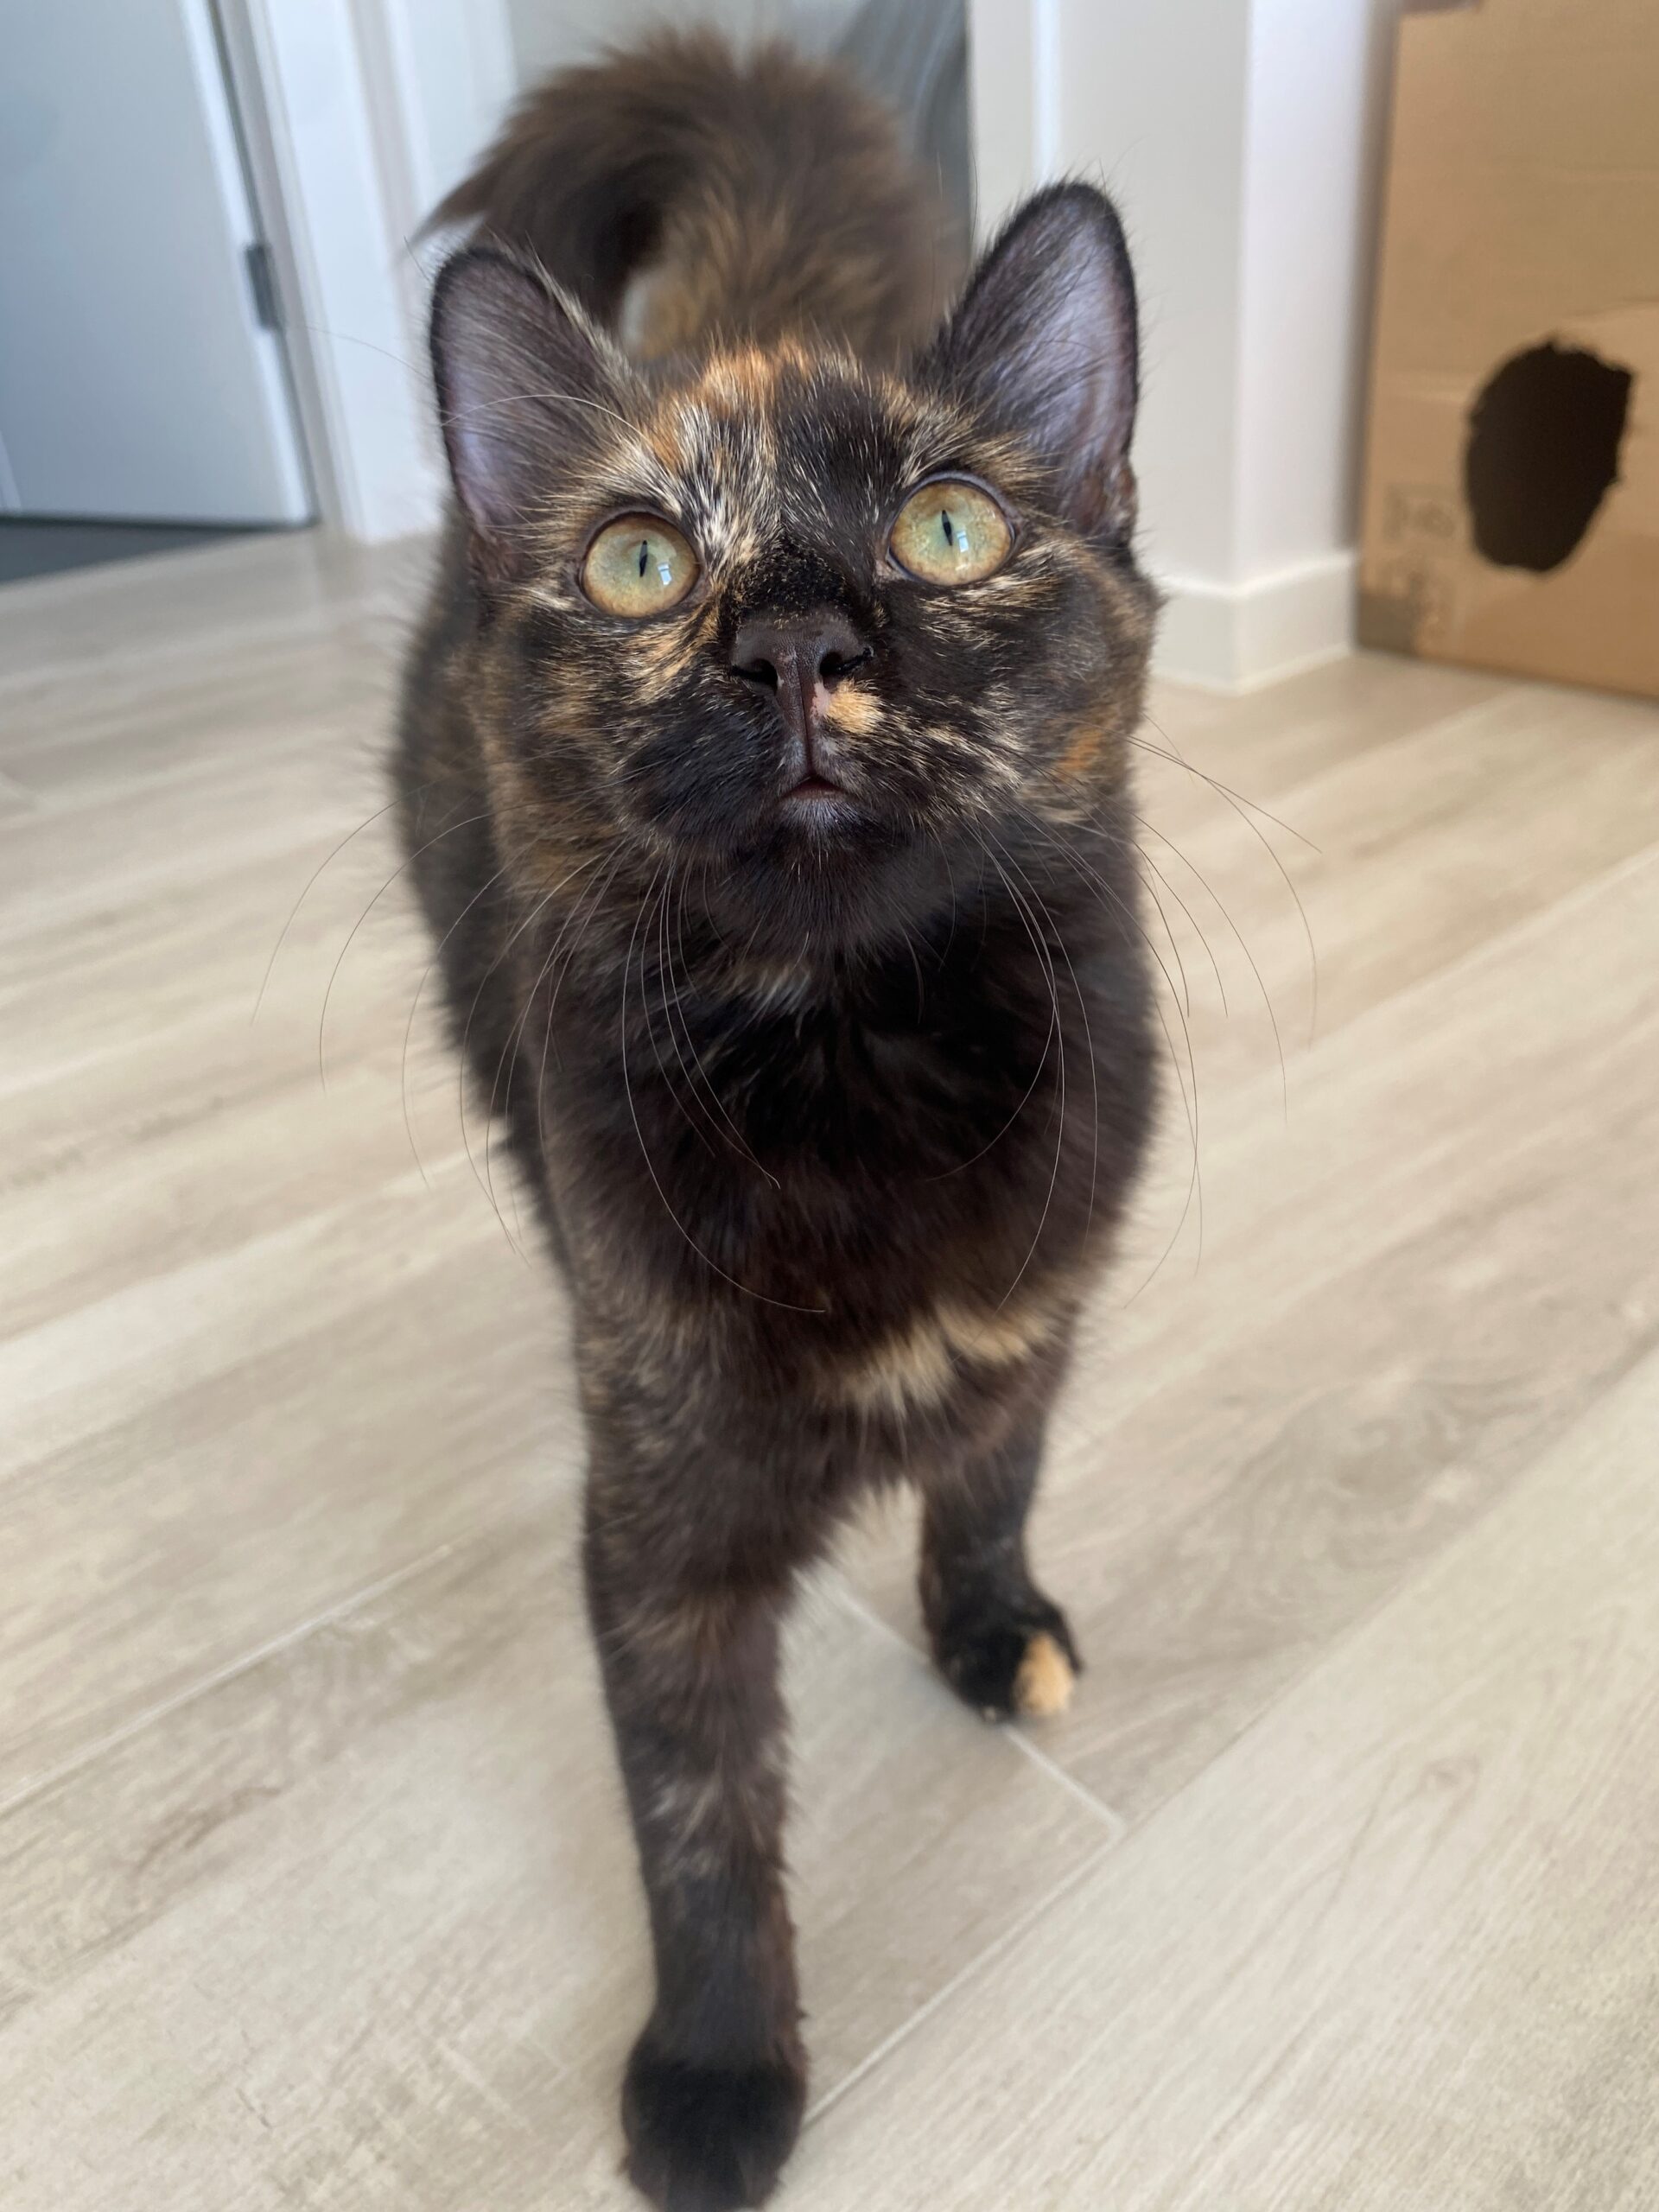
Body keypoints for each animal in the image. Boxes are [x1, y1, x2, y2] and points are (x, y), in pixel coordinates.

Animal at [397, 31, 1155, 2211]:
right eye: (643, 563)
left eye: (951, 530)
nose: (796, 639)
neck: (858, 1059)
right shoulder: (662, 1508)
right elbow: (700, 1816)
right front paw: (722, 2077)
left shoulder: (1037, 1313)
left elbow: (989, 1479)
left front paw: (990, 1630)